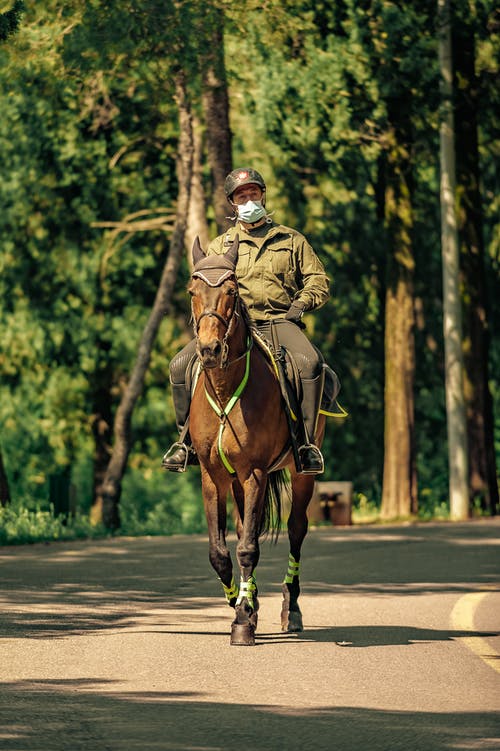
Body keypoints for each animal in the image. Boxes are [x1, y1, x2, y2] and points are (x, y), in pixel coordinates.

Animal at [187, 234, 324, 648]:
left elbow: (249, 547)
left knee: (296, 530)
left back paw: (290, 610)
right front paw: (241, 605)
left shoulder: (256, 474)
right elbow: (220, 552)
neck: (225, 387)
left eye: (231, 291)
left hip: (301, 474)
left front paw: (243, 620)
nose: (210, 350)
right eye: (192, 292)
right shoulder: (213, 477)